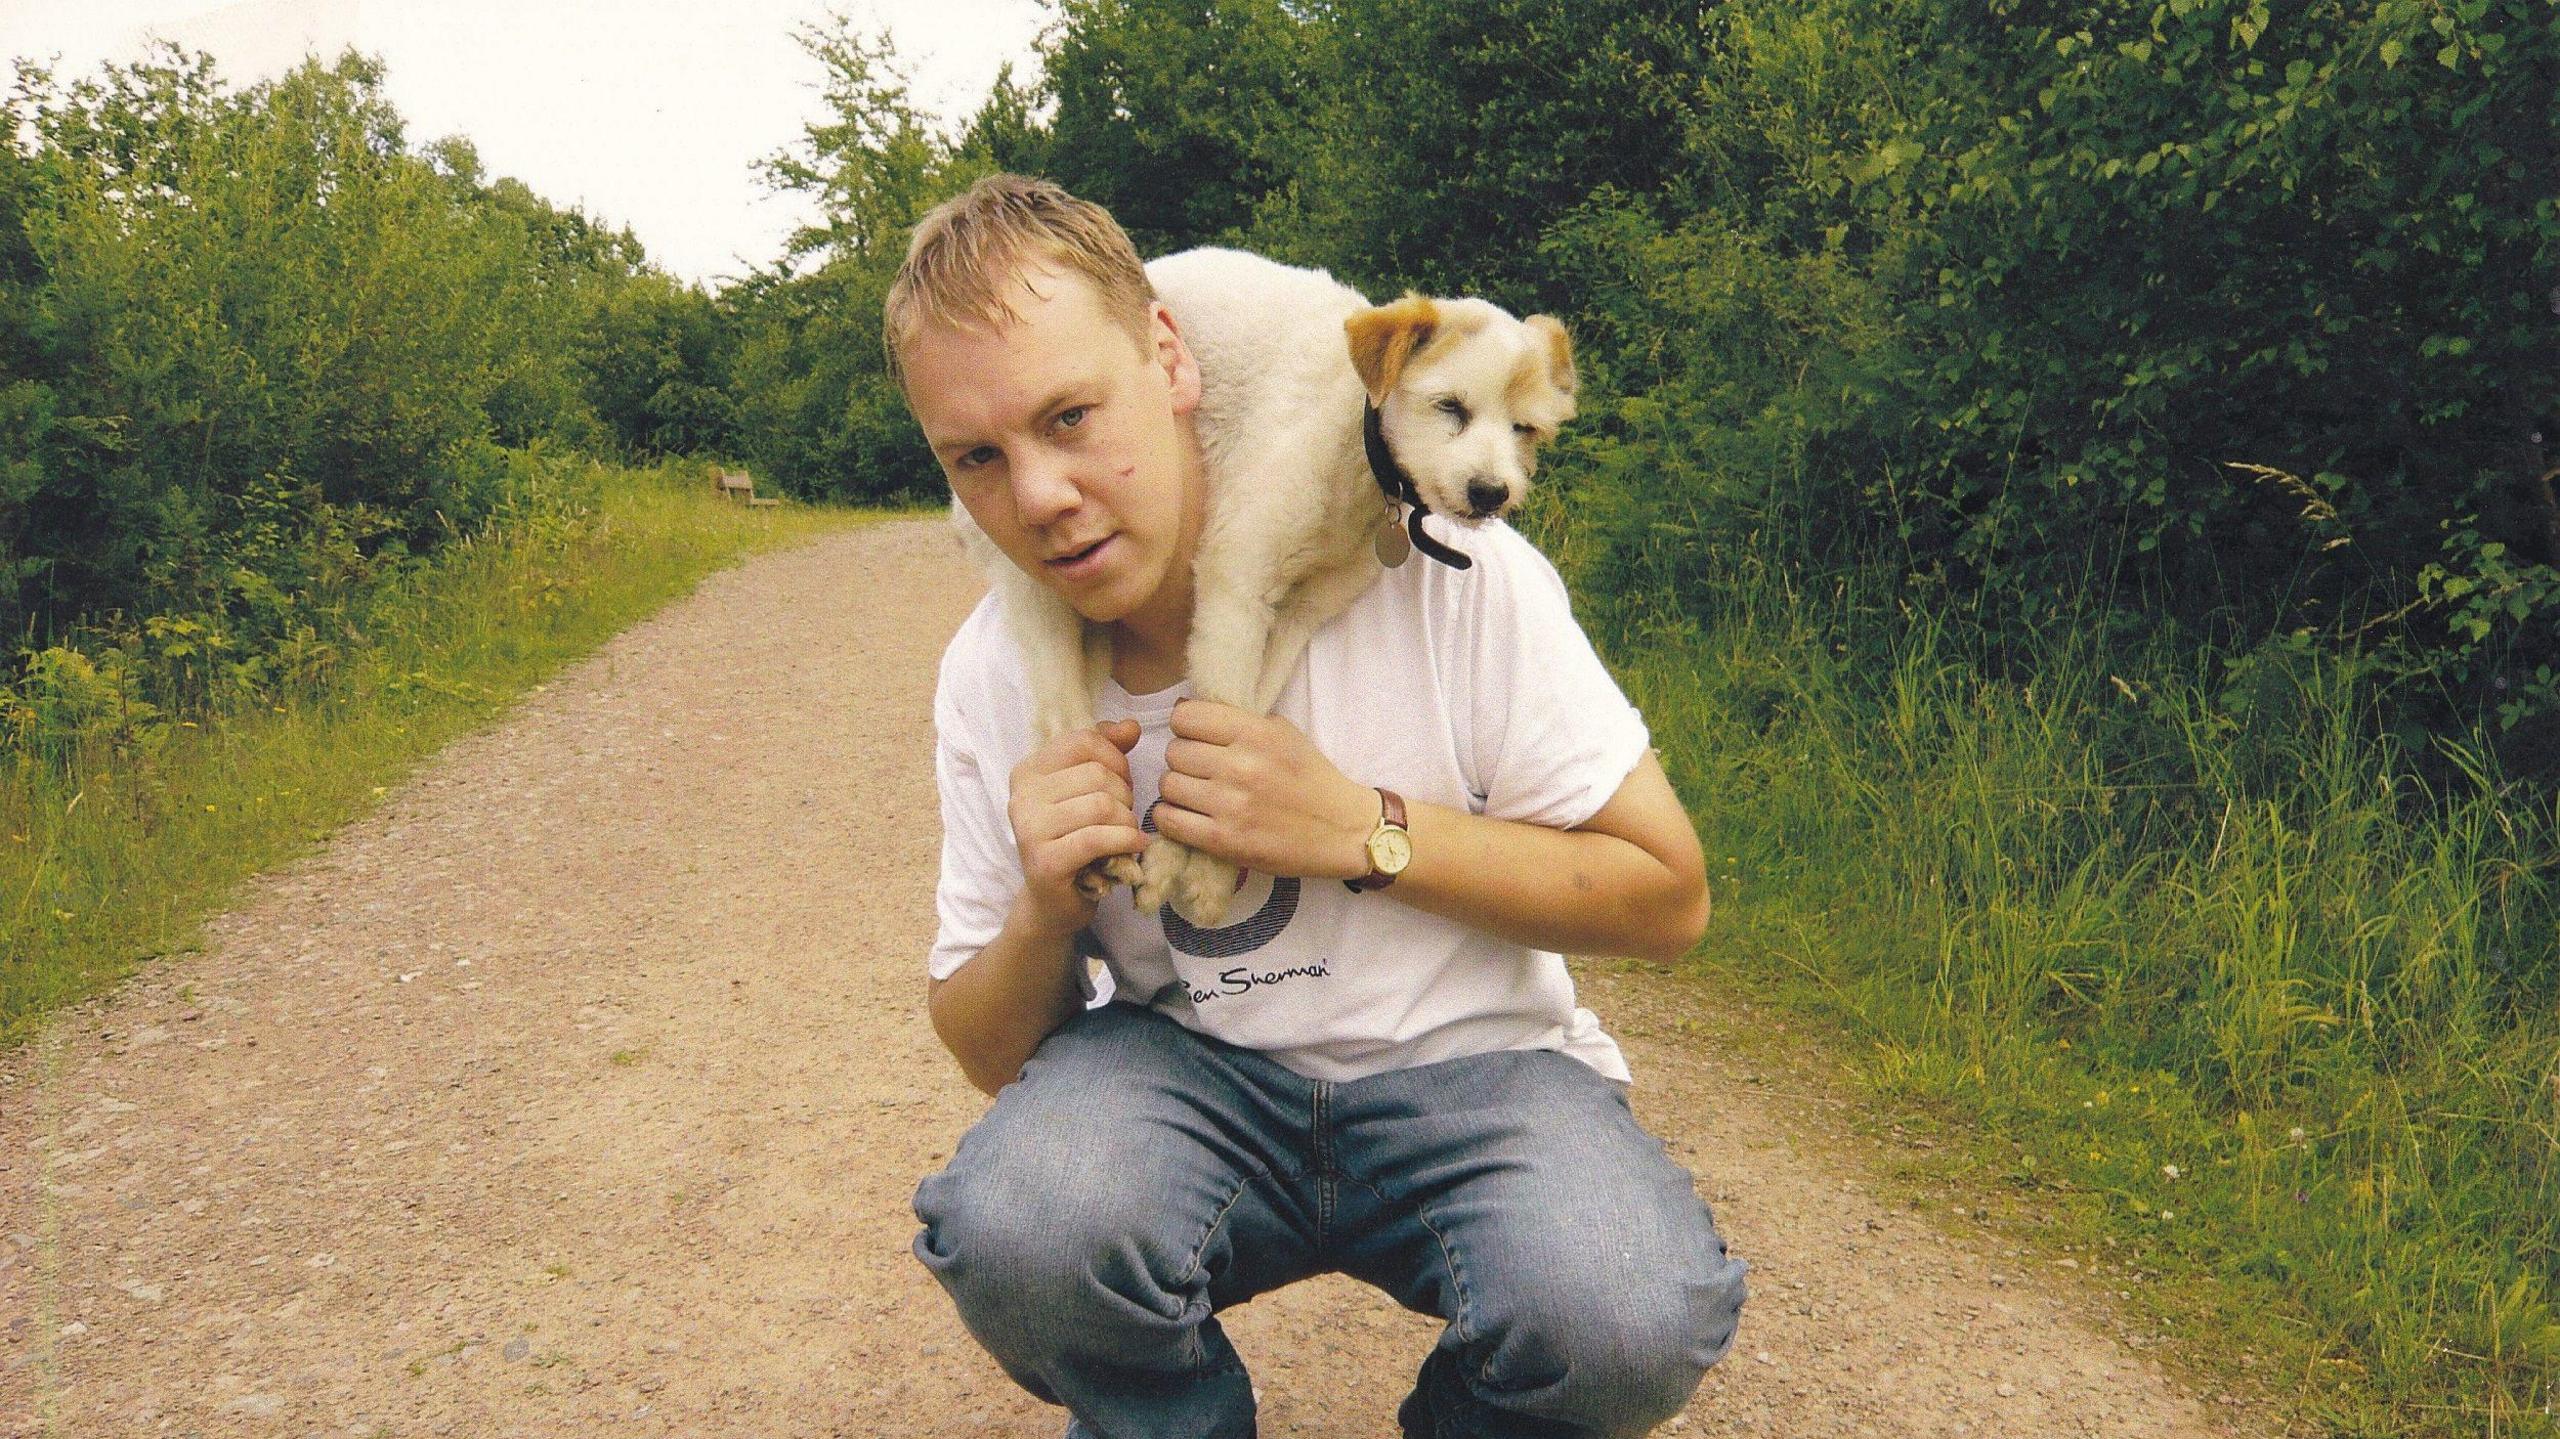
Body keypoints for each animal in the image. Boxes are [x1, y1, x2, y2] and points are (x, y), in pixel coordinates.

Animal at [952, 244, 1566, 916]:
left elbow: (1237, 719)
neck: (1353, 442)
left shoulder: (1299, 612)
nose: (1491, 493)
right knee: (1056, 717)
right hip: (1034, 590)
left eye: (1525, 430)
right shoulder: (1234, 581)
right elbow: (1217, 707)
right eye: (1450, 406)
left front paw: (1207, 866)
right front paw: (1179, 864)